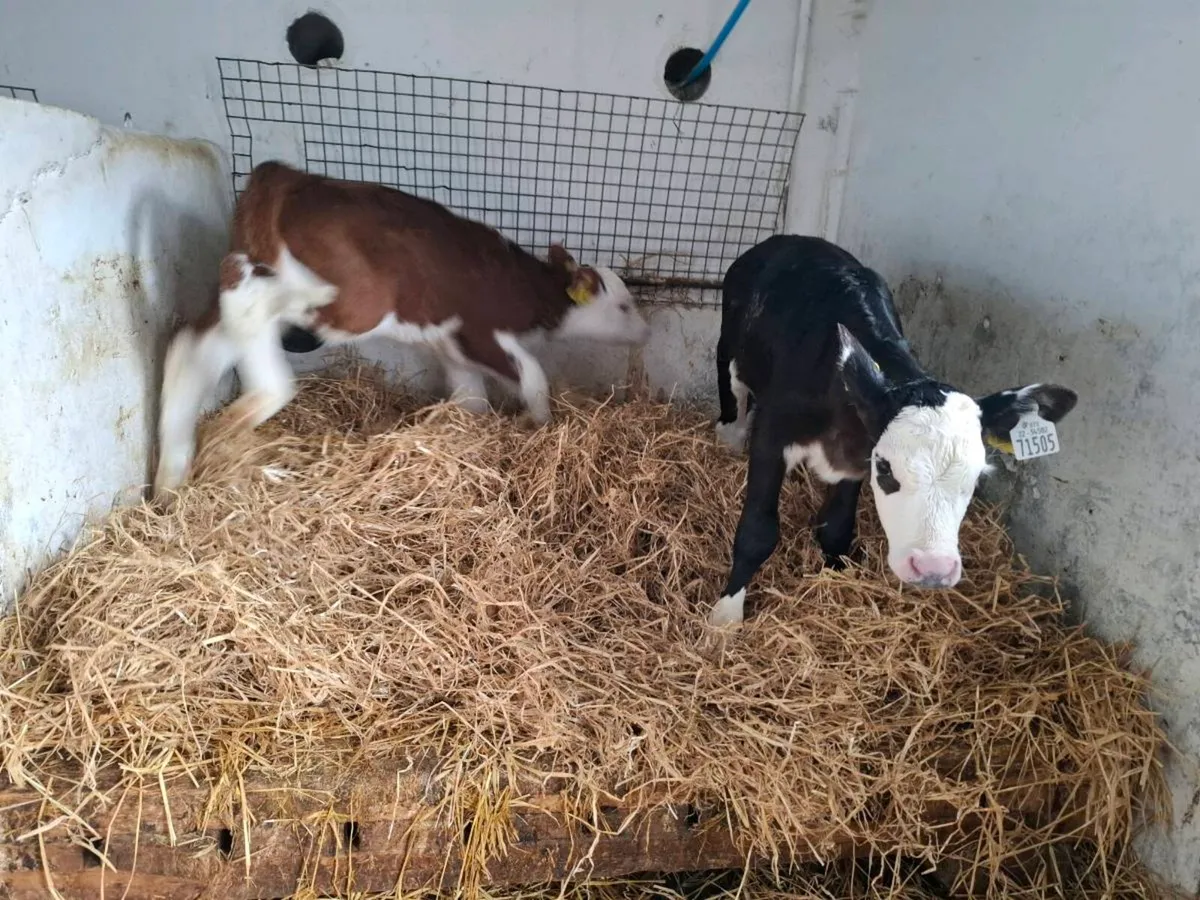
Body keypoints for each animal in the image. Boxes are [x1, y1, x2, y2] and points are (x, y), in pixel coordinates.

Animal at [153, 161, 650, 496]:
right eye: (624, 306)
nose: (645, 331)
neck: (523, 287)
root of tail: (288, 176)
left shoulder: (453, 347)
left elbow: (471, 399)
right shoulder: (480, 333)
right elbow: (533, 377)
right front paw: (543, 427)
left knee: (192, 344)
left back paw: (171, 474)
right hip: (353, 302)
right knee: (249, 296)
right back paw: (265, 396)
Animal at [709, 235, 1077, 627]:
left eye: (977, 479)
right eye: (886, 469)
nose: (932, 569)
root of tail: (789, 239)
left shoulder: (856, 460)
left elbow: (836, 528)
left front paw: (838, 575)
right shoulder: (772, 435)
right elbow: (757, 532)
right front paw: (726, 617)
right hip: (730, 358)